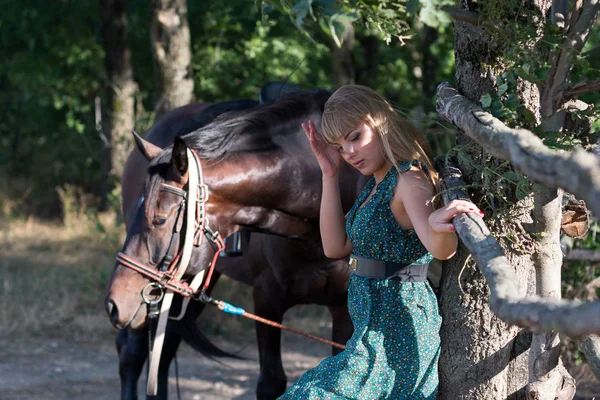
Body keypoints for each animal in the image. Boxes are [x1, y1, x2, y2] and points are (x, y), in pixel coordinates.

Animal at [104, 89, 366, 398]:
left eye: (159, 219)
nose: (113, 303)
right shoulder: (266, 298)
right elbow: (271, 381)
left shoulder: (343, 309)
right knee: (131, 354)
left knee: (163, 352)